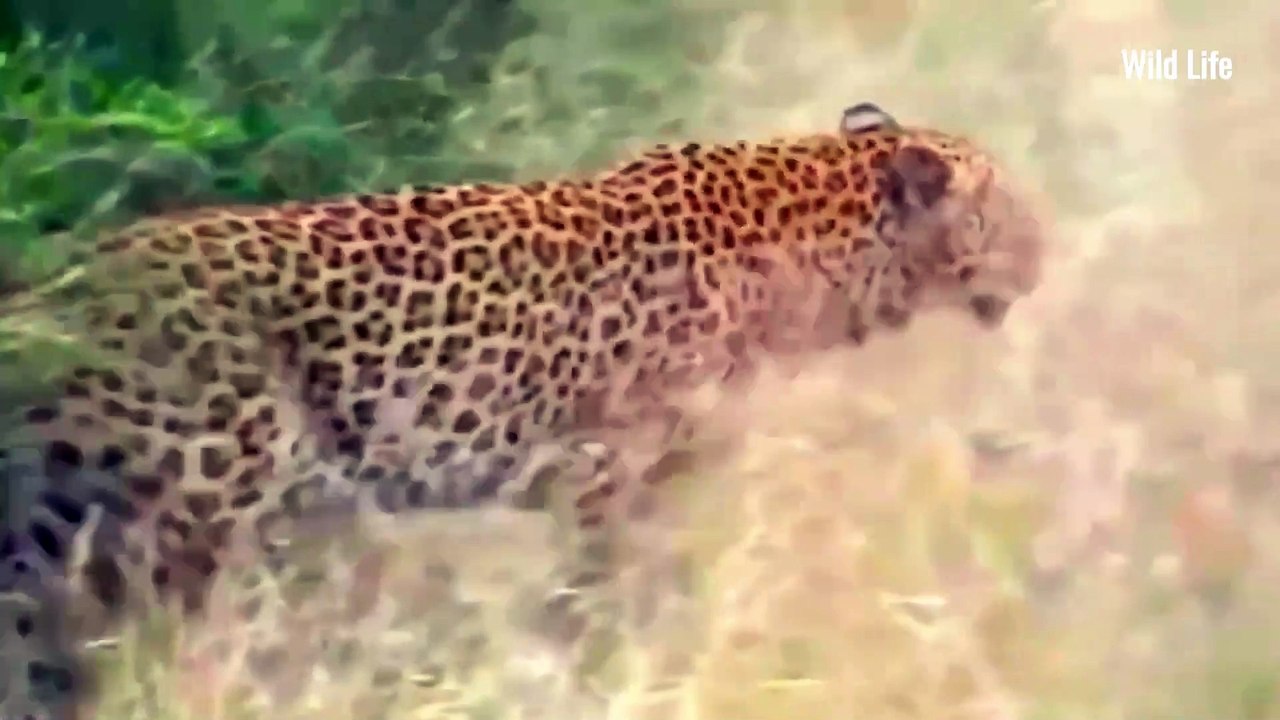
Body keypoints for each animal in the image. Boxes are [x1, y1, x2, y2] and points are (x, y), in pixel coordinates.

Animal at [0, 101, 1045, 716]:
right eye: (1008, 212)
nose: (1046, 257)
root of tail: (65, 287)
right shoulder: (604, 474)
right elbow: (609, 604)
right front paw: (619, 673)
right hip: (186, 518)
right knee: (133, 658)